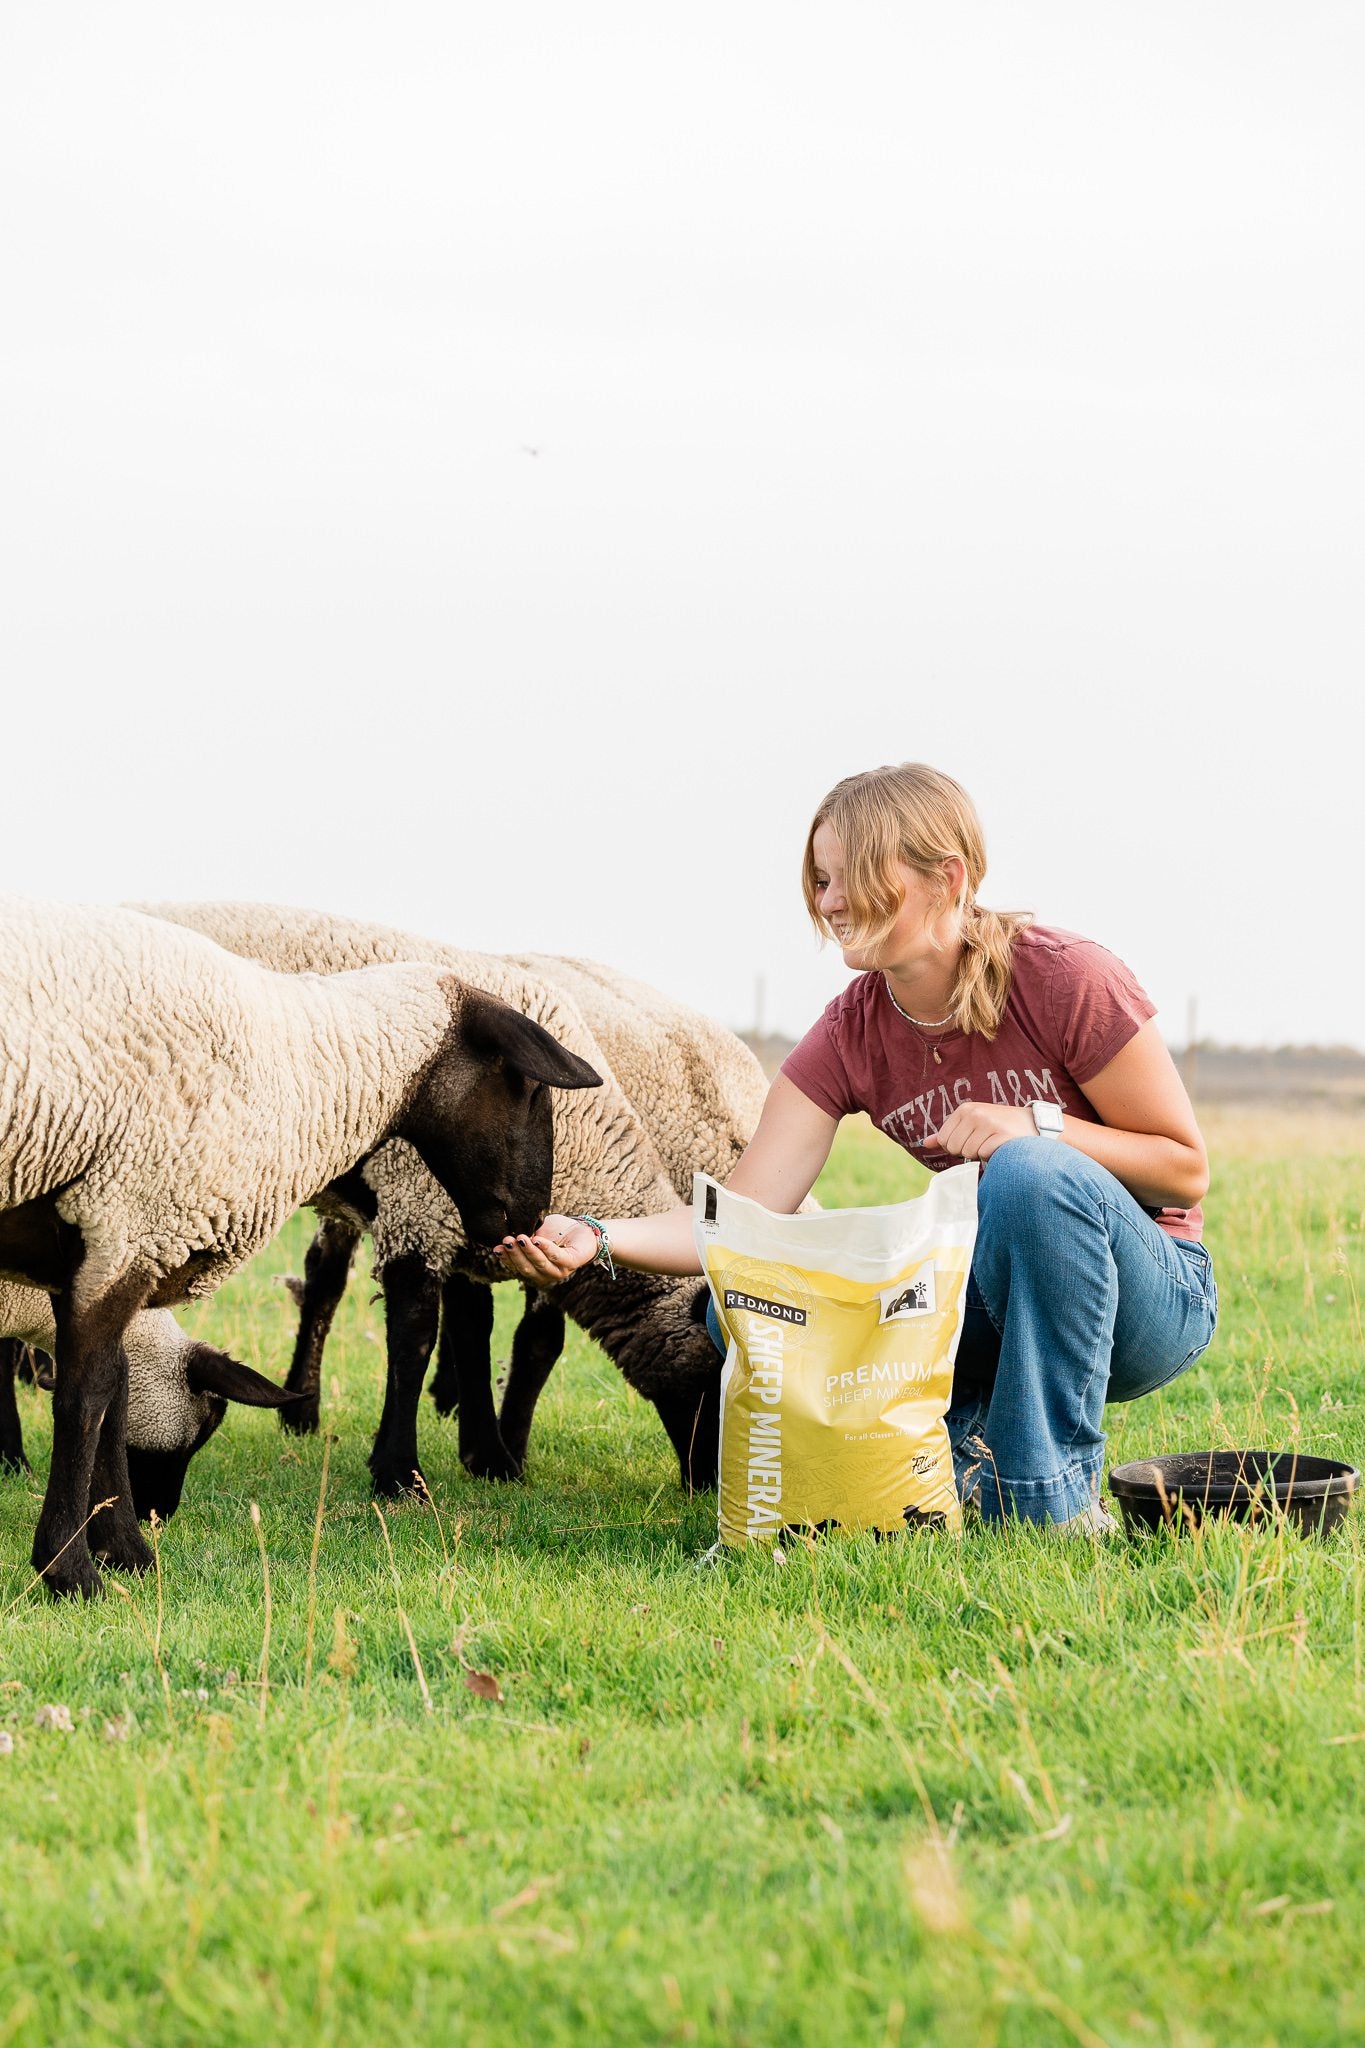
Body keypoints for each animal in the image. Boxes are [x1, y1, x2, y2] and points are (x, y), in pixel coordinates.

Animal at [133, 905, 769, 1499]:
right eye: (721, 1378)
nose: (713, 1485)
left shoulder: (474, 1237)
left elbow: (481, 1332)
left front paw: (489, 1455)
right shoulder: (419, 1207)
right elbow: (422, 1338)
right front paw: (401, 1472)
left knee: (325, 1275)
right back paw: (305, 1411)